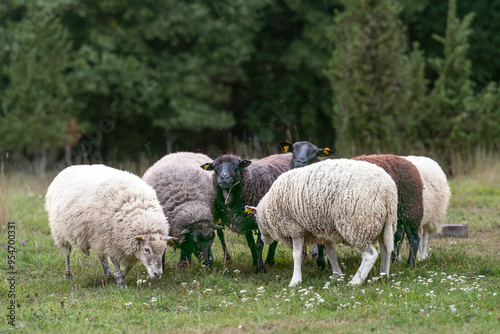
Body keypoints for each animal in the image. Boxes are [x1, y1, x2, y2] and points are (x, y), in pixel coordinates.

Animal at [45, 164, 174, 288]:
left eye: (164, 250)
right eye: (147, 249)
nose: (157, 274)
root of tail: (68, 168)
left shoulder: (122, 244)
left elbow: (129, 266)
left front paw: (120, 276)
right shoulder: (112, 242)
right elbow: (116, 262)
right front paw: (121, 282)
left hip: (96, 237)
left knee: (101, 256)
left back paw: (108, 275)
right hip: (61, 232)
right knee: (67, 253)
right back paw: (68, 275)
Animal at [244, 159, 396, 288]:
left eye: (256, 219)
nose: (263, 240)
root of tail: (387, 190)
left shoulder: (295, 228)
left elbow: (296, 255)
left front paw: (295, 280)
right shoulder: (328, 231)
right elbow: (331, 253)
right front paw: (337, 275)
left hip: (357, 225)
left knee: (370, 255)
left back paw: (355, 282)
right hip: (384, 224)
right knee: (386, 249)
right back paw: (383, 275)